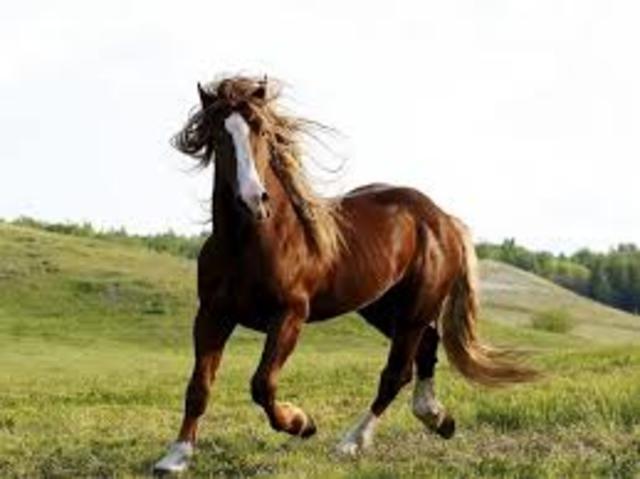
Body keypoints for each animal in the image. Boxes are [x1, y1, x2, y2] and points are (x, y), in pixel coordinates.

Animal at [154, 75, 537, 473]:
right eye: (217, 134)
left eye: (261, 129)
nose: (254, 201)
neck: (249, 243)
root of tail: (442, 218)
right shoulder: (213, 314)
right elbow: (199, 387)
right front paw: (175, 457)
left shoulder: (289, 315)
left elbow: (262, 384)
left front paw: (302, 423)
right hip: (382, 309)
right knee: (426, 347)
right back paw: (437, 418)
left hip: (414, 310)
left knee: (396, 373)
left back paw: (353, 442)